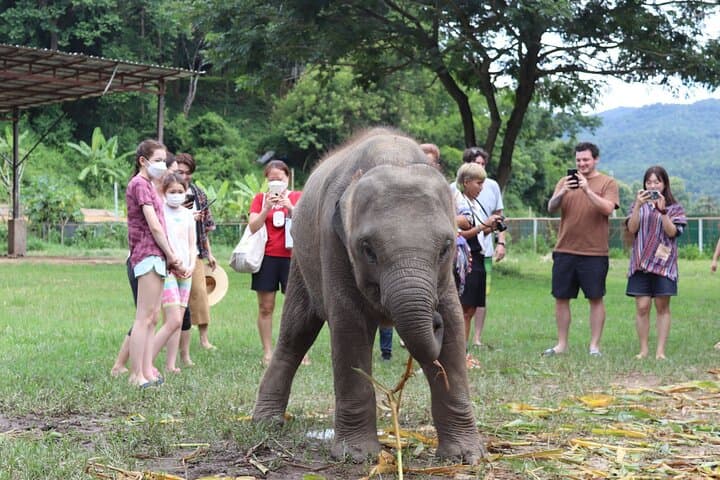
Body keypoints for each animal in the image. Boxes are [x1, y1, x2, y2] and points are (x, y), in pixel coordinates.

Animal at [252, 128, 485, 463]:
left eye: (445, 248)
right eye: (368, 249)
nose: (434, 319)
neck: (394, 157)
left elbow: (454, 330)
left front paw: (465, 456)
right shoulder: (333, 243)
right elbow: (349, 326)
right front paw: (357, 456)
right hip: (301, 264)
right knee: (296, 332)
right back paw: (266, 423)